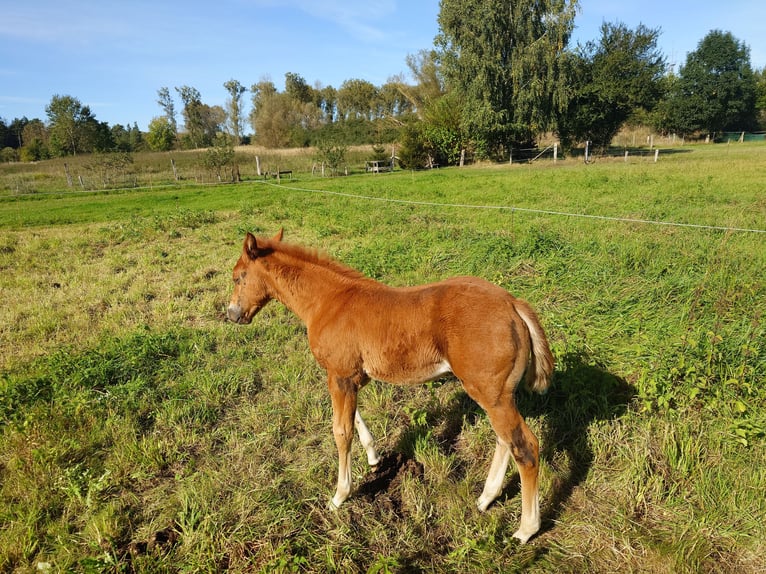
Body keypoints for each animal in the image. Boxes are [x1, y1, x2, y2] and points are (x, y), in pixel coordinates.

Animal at [227, 230, 554, 543]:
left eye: (238, 276)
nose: (231, 314)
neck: (328, 302)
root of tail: (512, 304)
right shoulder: (349, 377)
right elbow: (354, 421)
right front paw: (374, 458)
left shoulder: (340, 376)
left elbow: (341, 431)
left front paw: (339, 496)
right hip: (496, 394)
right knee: (504, 440)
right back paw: (486, 498)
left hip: (491, 394)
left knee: (524, 447)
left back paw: (526, 529)